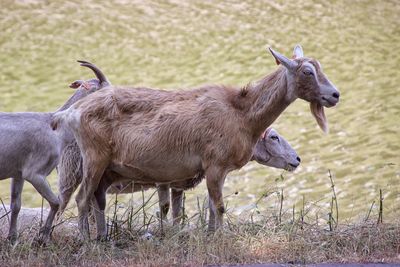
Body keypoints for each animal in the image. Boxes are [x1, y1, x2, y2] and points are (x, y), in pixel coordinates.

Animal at [52, 45, 340, 240]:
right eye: (308, 71)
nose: (335, 94)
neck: (242, 115)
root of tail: (71, 113)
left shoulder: (214, 171)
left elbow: (211, 207)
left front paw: (211, 236)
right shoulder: (213, 164)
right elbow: (219, 206)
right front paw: (220, 239)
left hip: (105, 169)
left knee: (96, 199)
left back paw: (102, 237)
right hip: (92, 159)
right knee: (81, 199)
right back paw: (87, 241)